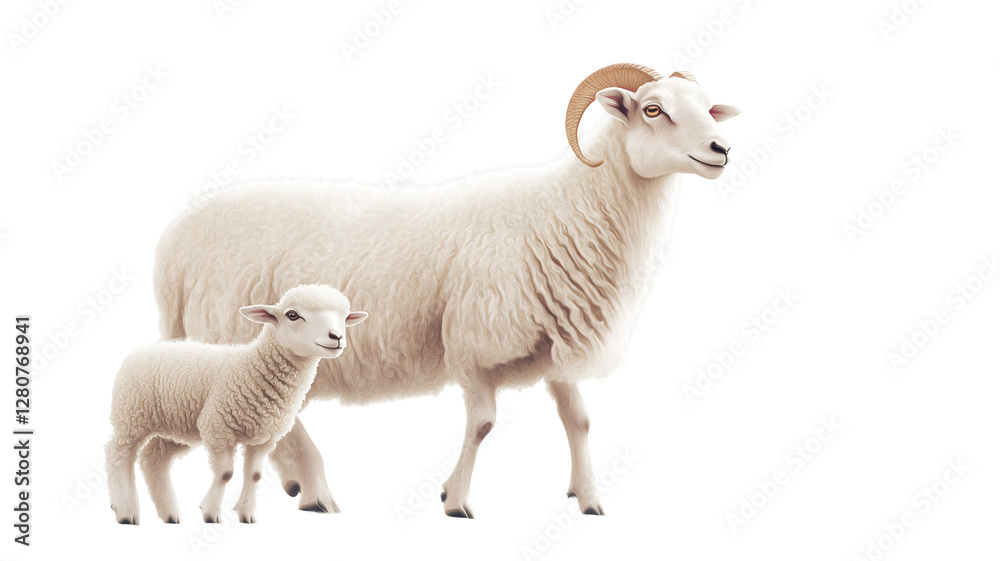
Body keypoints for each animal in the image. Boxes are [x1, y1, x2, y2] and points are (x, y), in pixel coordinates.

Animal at [104, 284, 368, 525]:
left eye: (345, 317)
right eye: (292, 315)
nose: (337, 337)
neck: (252, 365)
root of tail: (141, 350)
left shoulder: (263, 439)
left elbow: (255, 475)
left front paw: (246, 514)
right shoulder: (217, 427)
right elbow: (225, 473)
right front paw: (210, 513)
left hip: (175, 426)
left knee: (152, 459)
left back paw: (169, 513)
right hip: (131, 415)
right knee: (118, 455)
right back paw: (126, 510)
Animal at [153, 63, 740, 517]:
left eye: (709, 109)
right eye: (653, 110)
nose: (721, 149)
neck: (561, 212)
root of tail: (174, 241)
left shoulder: (553, 339)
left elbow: (580, 419)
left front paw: (590, 496)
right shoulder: (473, 342)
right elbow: (482, 424)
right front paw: (455, 499)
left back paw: (298, 482)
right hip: (243, 333)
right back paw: (317, 488)